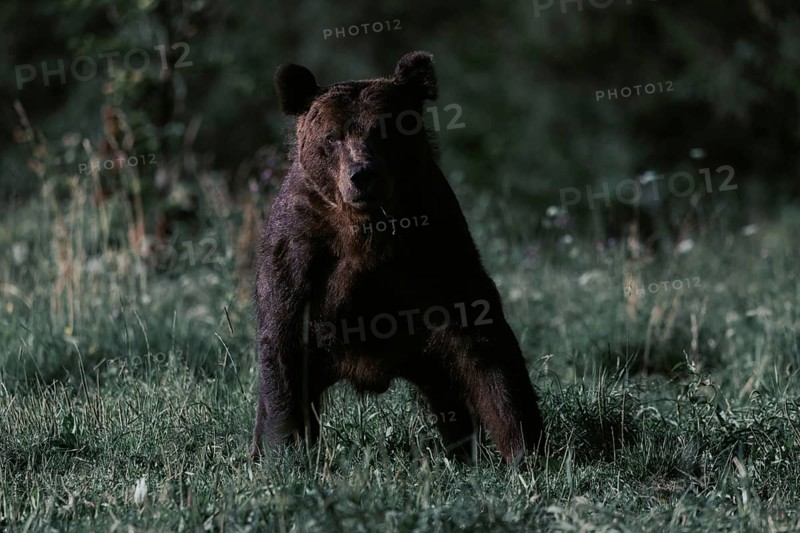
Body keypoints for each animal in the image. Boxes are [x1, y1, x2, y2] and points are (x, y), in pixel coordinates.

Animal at [252, 51, 545, 464]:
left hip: (430, 355)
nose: (362, 175)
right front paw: (285, 452)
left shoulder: (438, 245)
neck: (366, 227)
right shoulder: (301, 251)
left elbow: (487, 347)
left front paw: (523, 449)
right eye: (332, 136)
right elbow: (283, 346)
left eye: (385, 130)